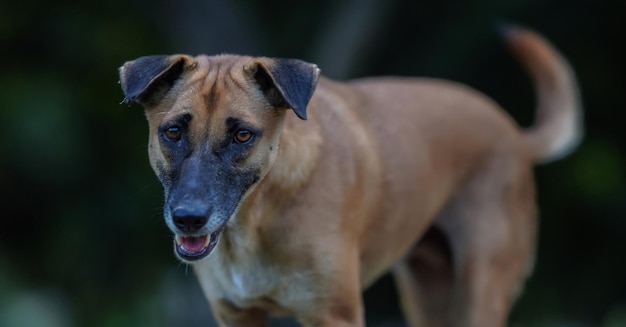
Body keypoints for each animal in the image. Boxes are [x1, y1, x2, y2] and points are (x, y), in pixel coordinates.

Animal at [117, 26, 580, 327]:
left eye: (243, 135)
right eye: (173, 131)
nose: (188, 218)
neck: (255, 222)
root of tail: (513, 133)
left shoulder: (333, 314)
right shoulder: (237, 316)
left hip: (481, 290)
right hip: (426, 293)